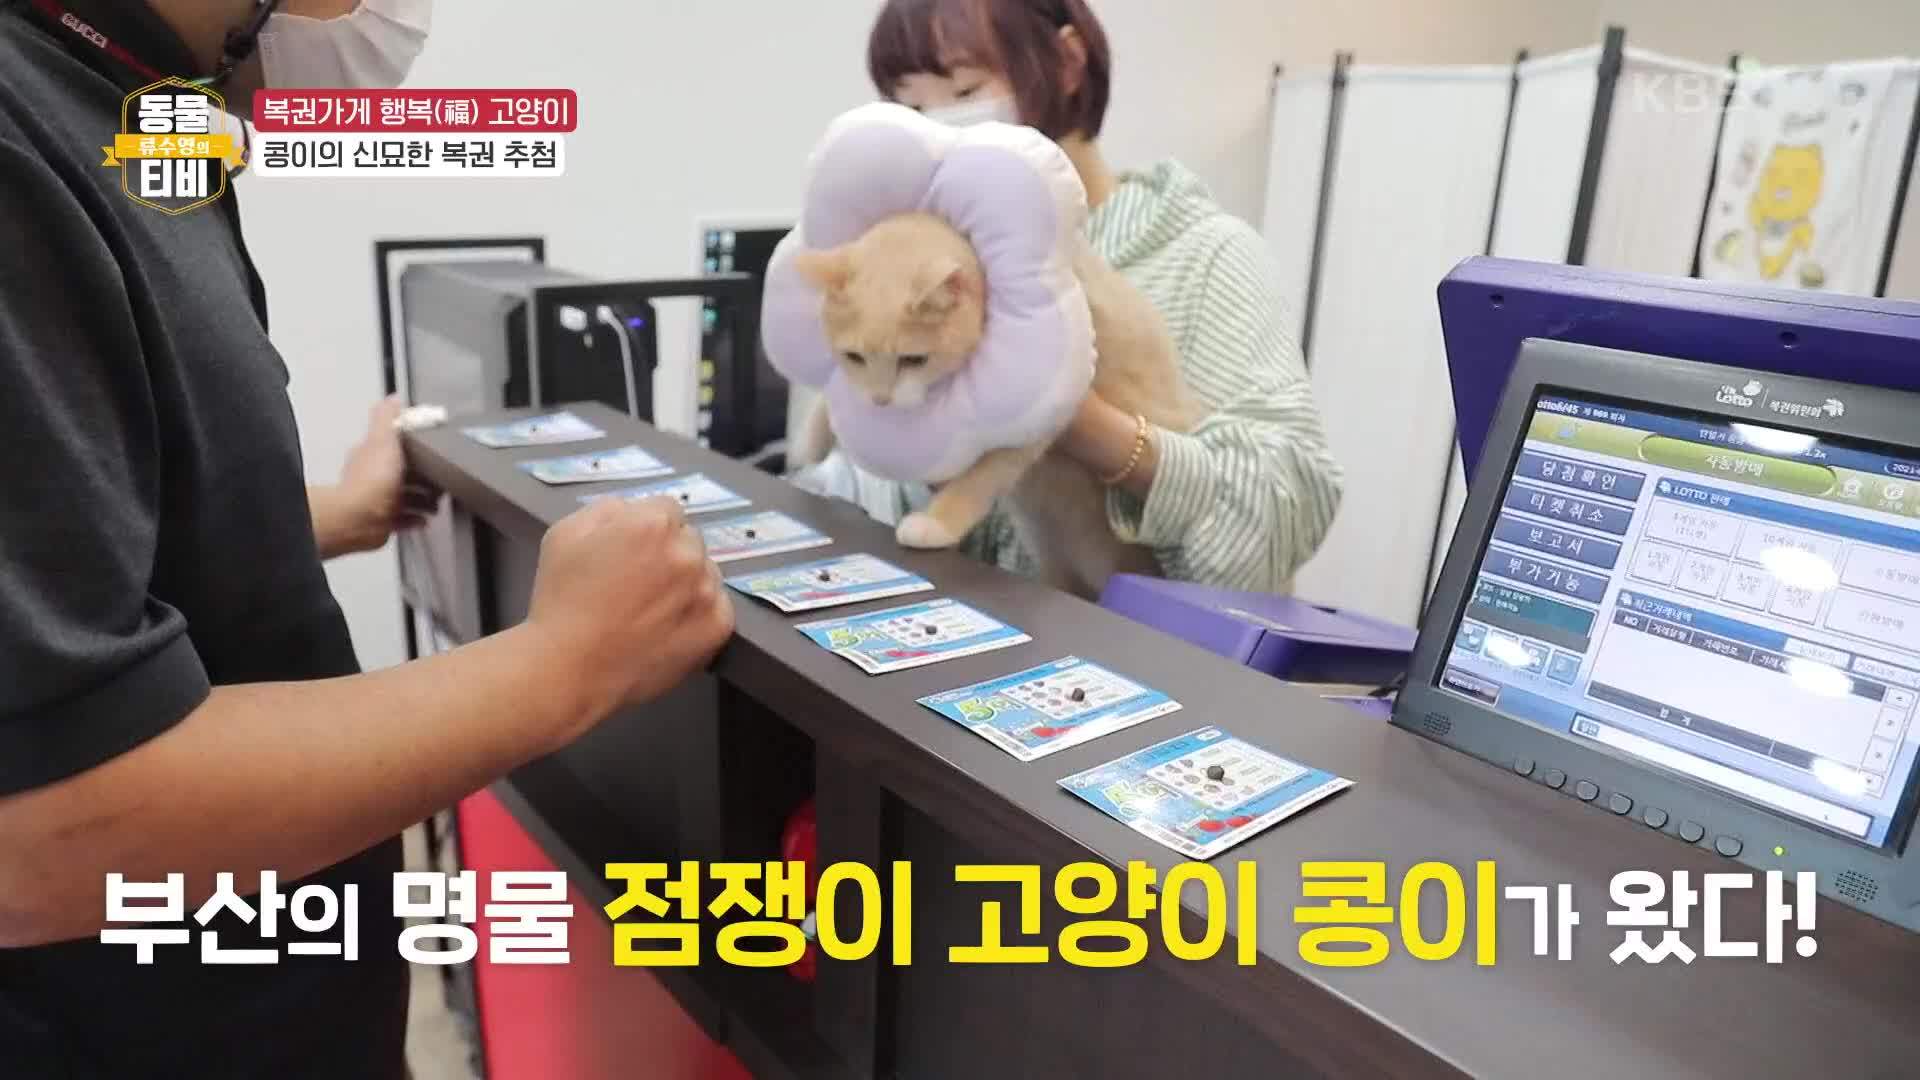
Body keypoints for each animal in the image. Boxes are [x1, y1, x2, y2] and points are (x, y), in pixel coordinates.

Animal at [789, 211, 1202, 599]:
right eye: (854, 357)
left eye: (913, 360)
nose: (880, 399)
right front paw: (811, 441)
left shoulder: (1036, 423)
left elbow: (978, 480)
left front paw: (934, 524)